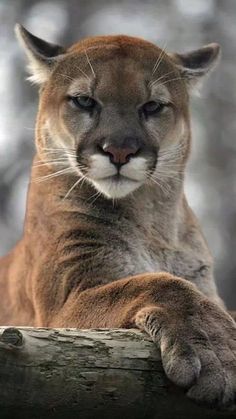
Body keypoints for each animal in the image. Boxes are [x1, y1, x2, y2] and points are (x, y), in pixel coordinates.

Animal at [0, 24, 236, 408]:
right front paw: (217, 352)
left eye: (152, 106)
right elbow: (156, 282)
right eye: (84, 101)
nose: (120, 150)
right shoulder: (66, 301)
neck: (153, 224)